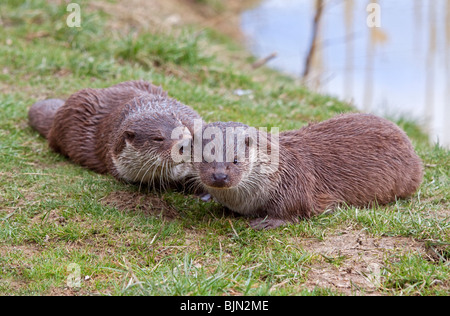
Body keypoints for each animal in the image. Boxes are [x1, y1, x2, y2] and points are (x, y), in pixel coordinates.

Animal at [195, 113, 424, 230]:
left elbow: (293, 209)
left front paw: (268, 222)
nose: (219, 176)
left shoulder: (295, 184)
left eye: (235, 160)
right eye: (205, 158)